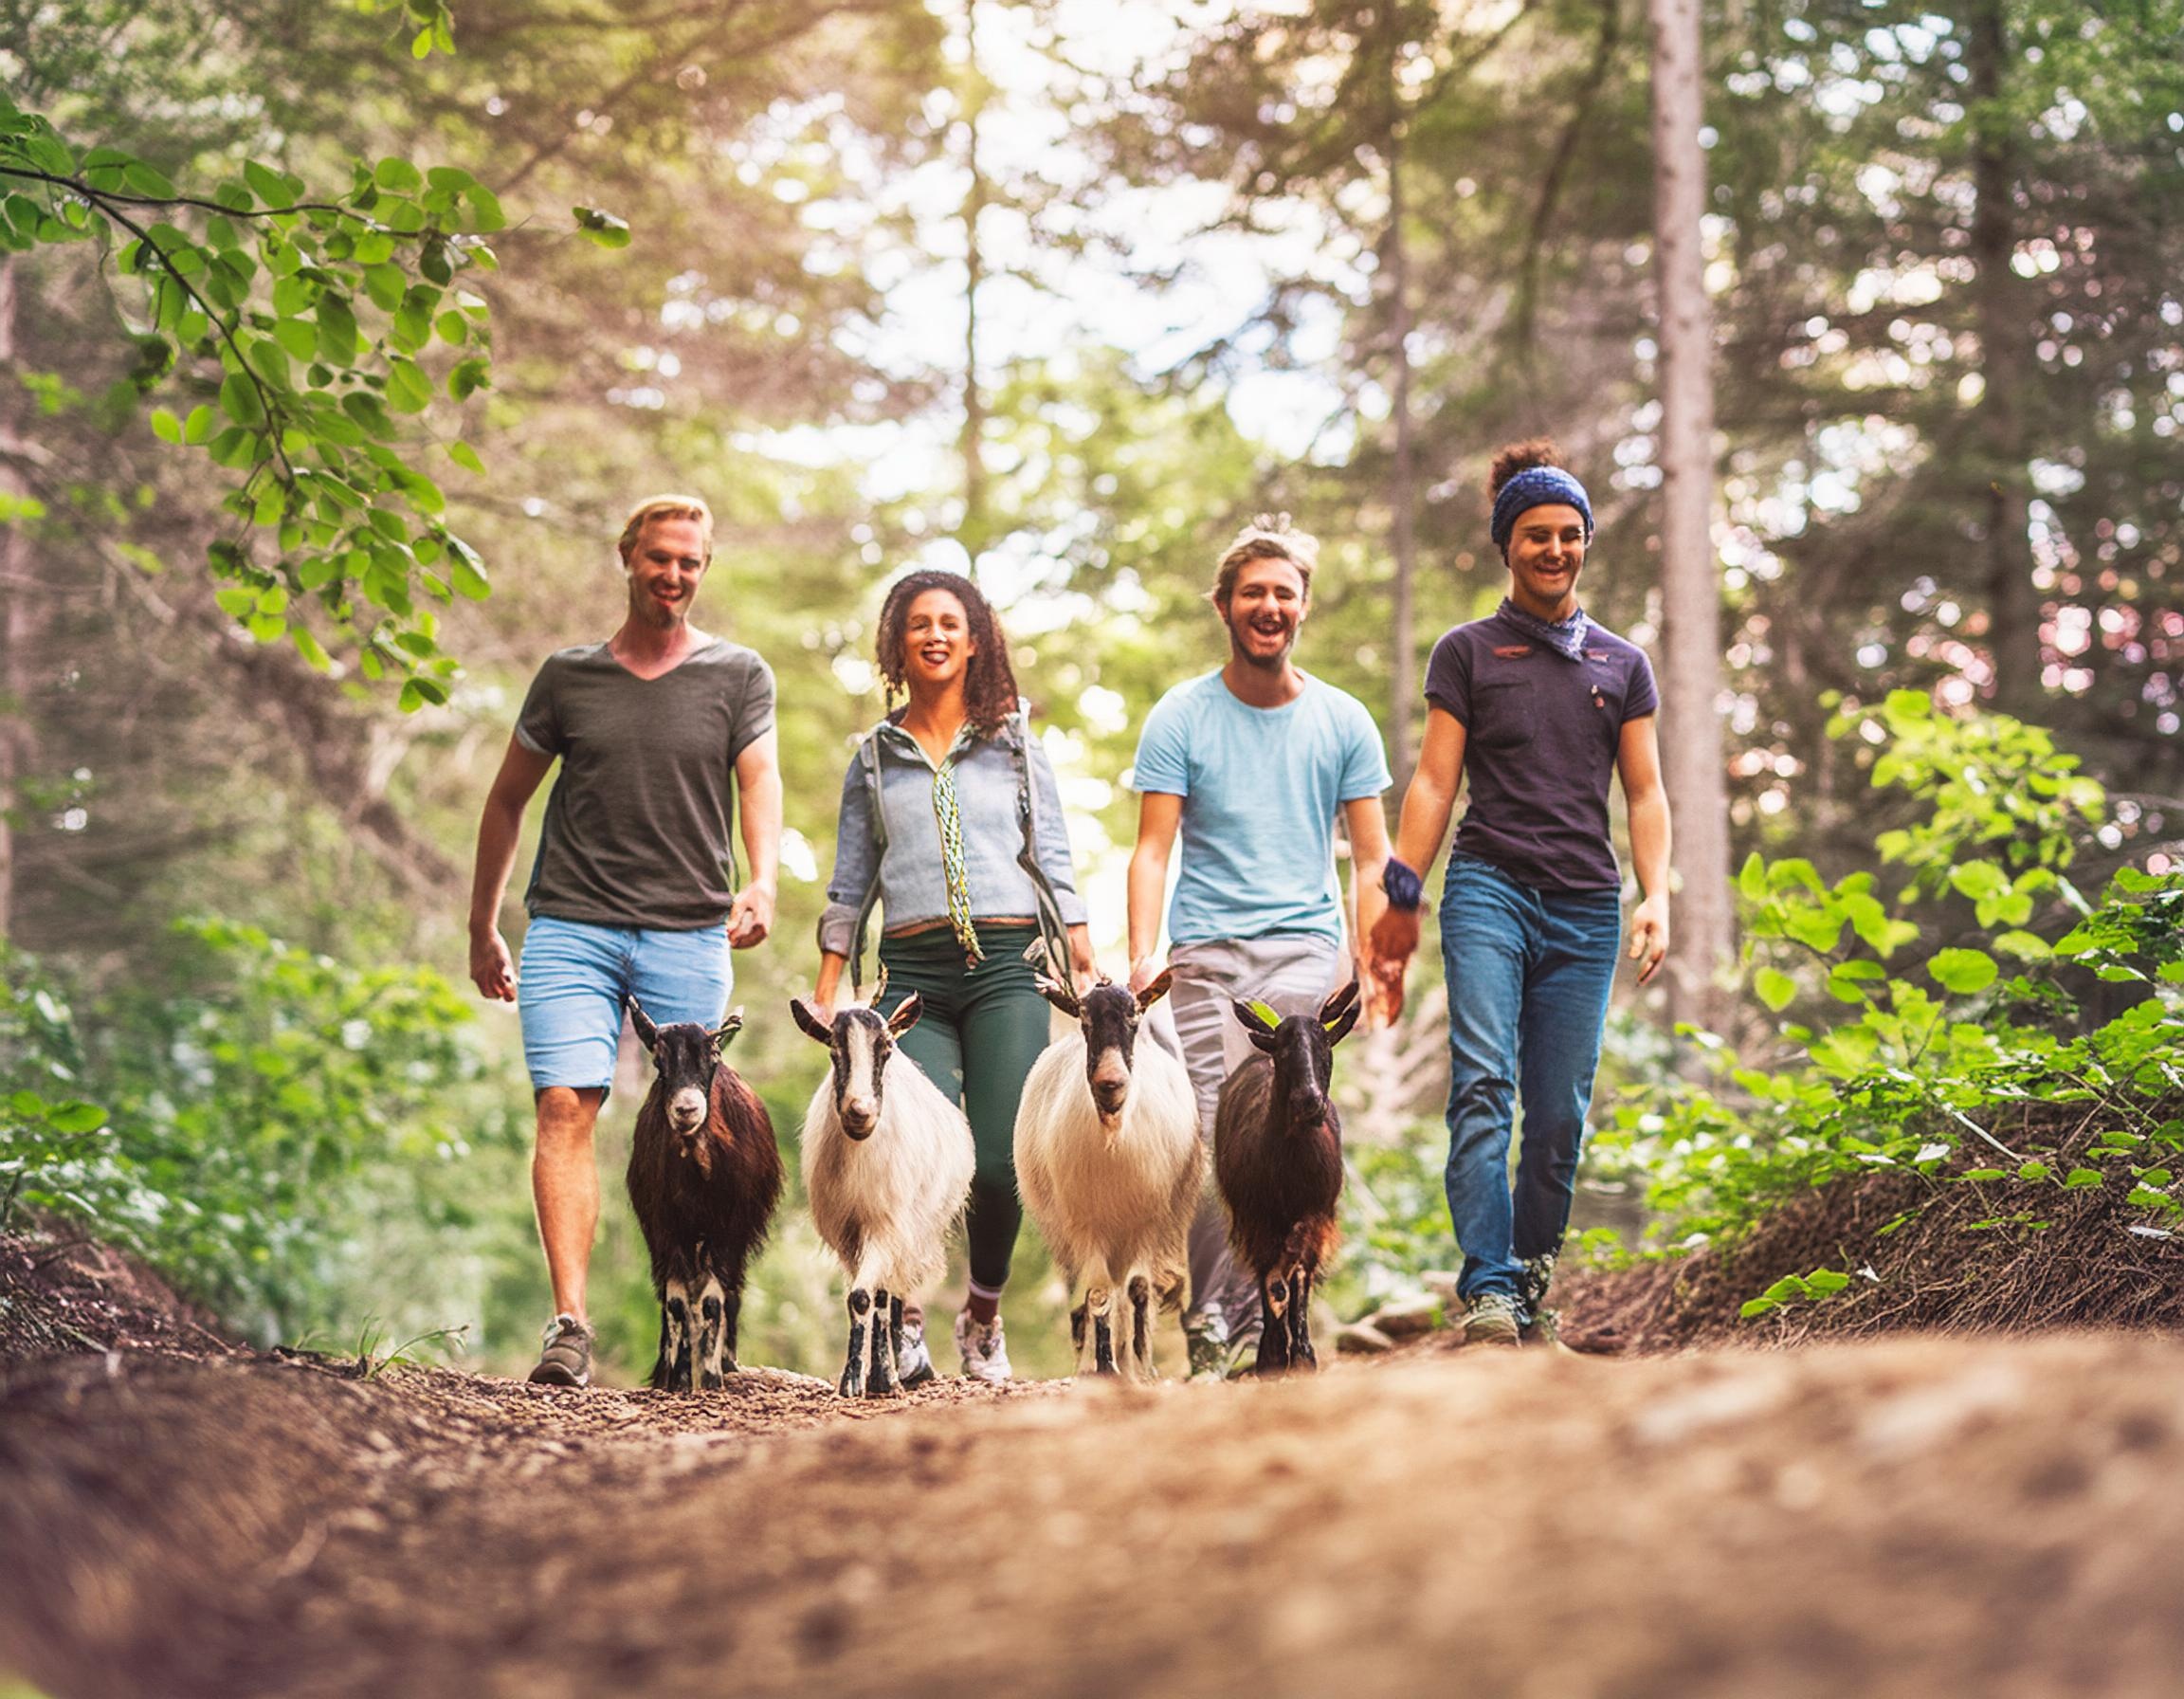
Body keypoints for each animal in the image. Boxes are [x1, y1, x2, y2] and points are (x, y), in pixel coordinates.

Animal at [624, 999, 786, 1379]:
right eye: (659, 1062)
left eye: (713, 1059)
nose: (686, 1109)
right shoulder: (664, 1224)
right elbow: (675, 1298)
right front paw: (675, 1374)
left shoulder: (732, 1225)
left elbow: (714, 1297)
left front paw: (711, 1373)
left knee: (731, 1286)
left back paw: (727, 1360)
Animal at [794, 974, 974, 1398]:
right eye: (833, 1051)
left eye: (886, 1049)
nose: (860, 1112)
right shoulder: (848, 1235)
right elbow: (858, 1297)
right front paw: (854, 1378)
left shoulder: (889, 1226)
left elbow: (867, 1297)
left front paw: (874, 1378)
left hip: (914, 1229)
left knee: (888, 1294)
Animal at [1013, 965, 1205, 1379]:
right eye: (1084, 1020)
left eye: (1135, 1018)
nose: (1110, 1083)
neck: (1113, 1136)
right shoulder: (1084, 1225)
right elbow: (1097, 1294)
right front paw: (1103, 1369)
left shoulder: (1148, 1223)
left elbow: (1139, 1290)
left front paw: (1140, 1368)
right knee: (1090, 1297)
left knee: (1127, 1291)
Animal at [1214, 974, 1362, 1371]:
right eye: (1281, 1051)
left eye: (1325, 1045)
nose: (1309, 1100)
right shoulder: (1254, 1214)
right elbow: (1269, 1270)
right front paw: (1272, 1353)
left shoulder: (1316, 1210)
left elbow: (1299, 1271)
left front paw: (1302, 1355)